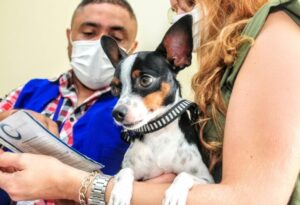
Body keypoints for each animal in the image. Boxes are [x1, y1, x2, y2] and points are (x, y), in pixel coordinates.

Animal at [101, 14, 213, 205]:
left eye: (145, 80)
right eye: (115, 88)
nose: (117, 113)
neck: (159, 134)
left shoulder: (207, 180)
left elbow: (183, 175)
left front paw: (174, 193)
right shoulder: (131, 173)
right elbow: (125, 171)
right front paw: (120, 192)